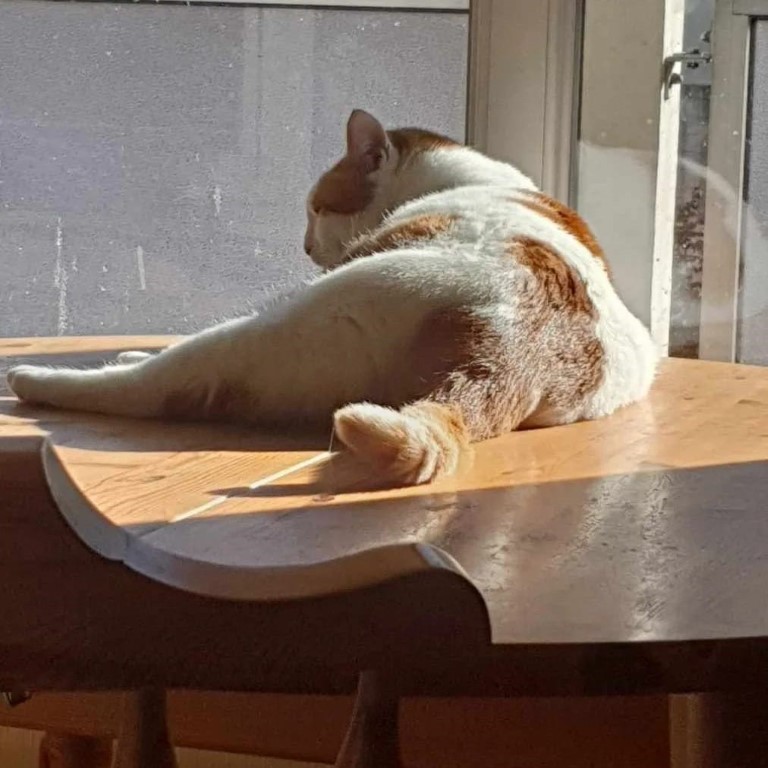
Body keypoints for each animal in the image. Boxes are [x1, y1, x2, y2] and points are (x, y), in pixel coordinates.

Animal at [7, 109, 657, 485]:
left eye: (317, 209)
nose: (304, 246)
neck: (482, 181)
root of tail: (517, 353)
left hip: (291, 319)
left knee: (163, 386)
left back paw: (38, 380)